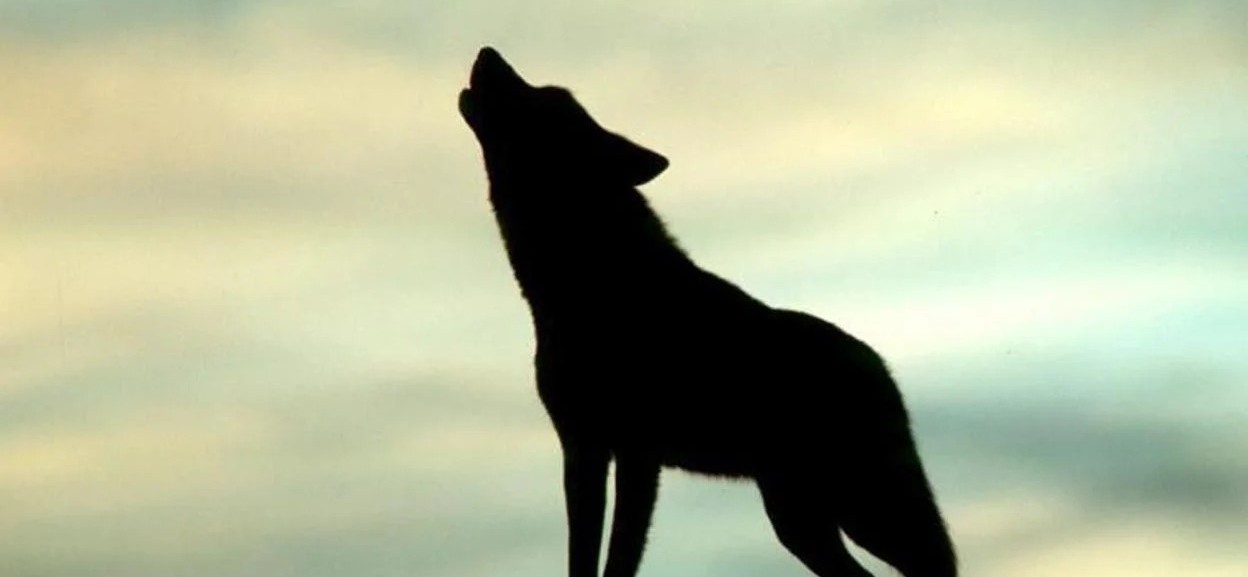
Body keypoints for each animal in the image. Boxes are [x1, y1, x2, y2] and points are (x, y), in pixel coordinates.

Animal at [458, 47, 957, 577]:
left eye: (547, 98)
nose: (488, 51)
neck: (587, 285)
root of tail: (881, 366)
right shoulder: (582, 449)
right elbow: (583, 556)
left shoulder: (636, 454)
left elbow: (621, 555)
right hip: (800, 521)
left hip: (862, 509)